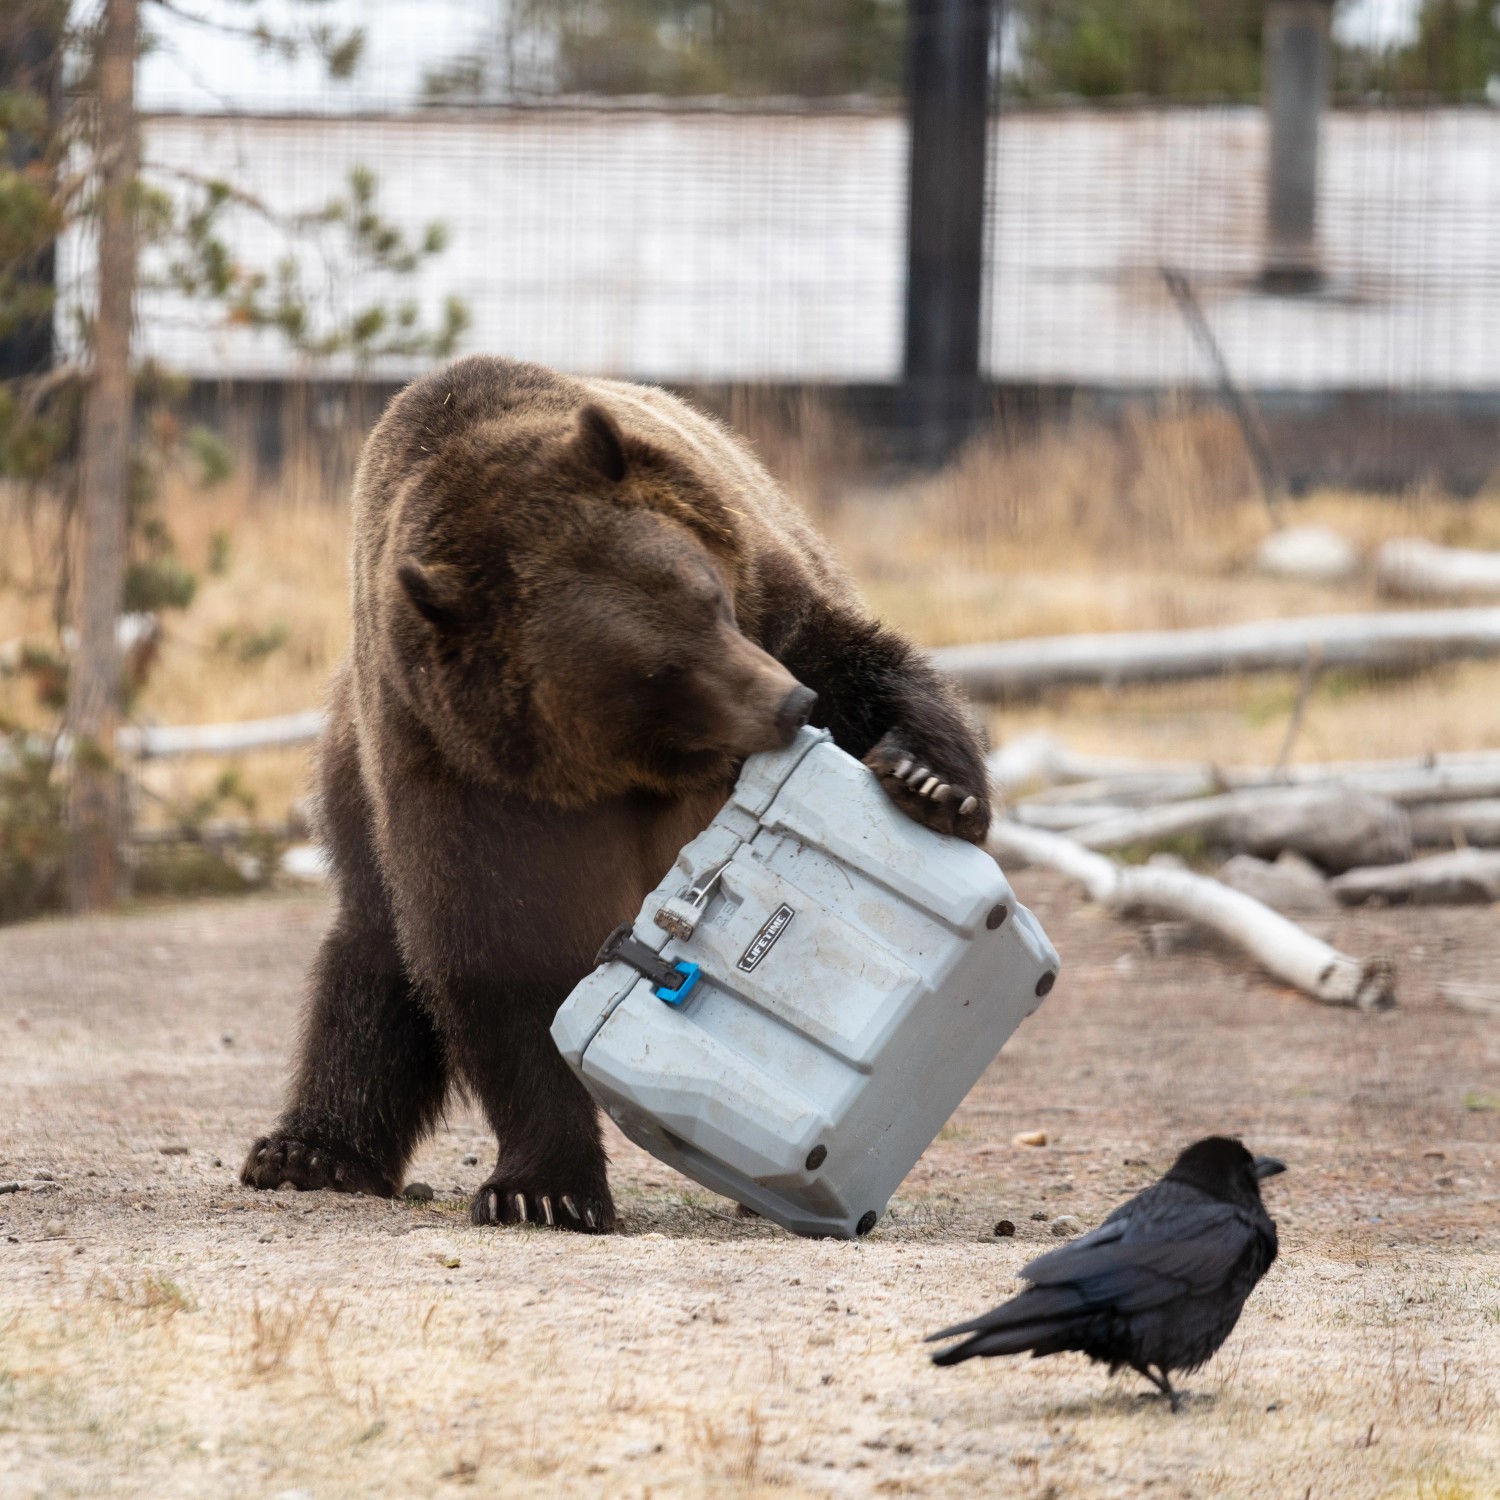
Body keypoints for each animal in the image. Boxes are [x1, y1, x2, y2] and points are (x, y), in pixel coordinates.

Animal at [242, 355, 991, 1232]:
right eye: (655, 673)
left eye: (708, 598)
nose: (789, 705)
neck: (627, 770)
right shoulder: (462, 774)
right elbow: (499, 954)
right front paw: (542, 1189)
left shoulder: (769, 592)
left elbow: (863, 663)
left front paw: (930, 781)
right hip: (354, 797)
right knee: (372, 961)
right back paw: (305, 1151)